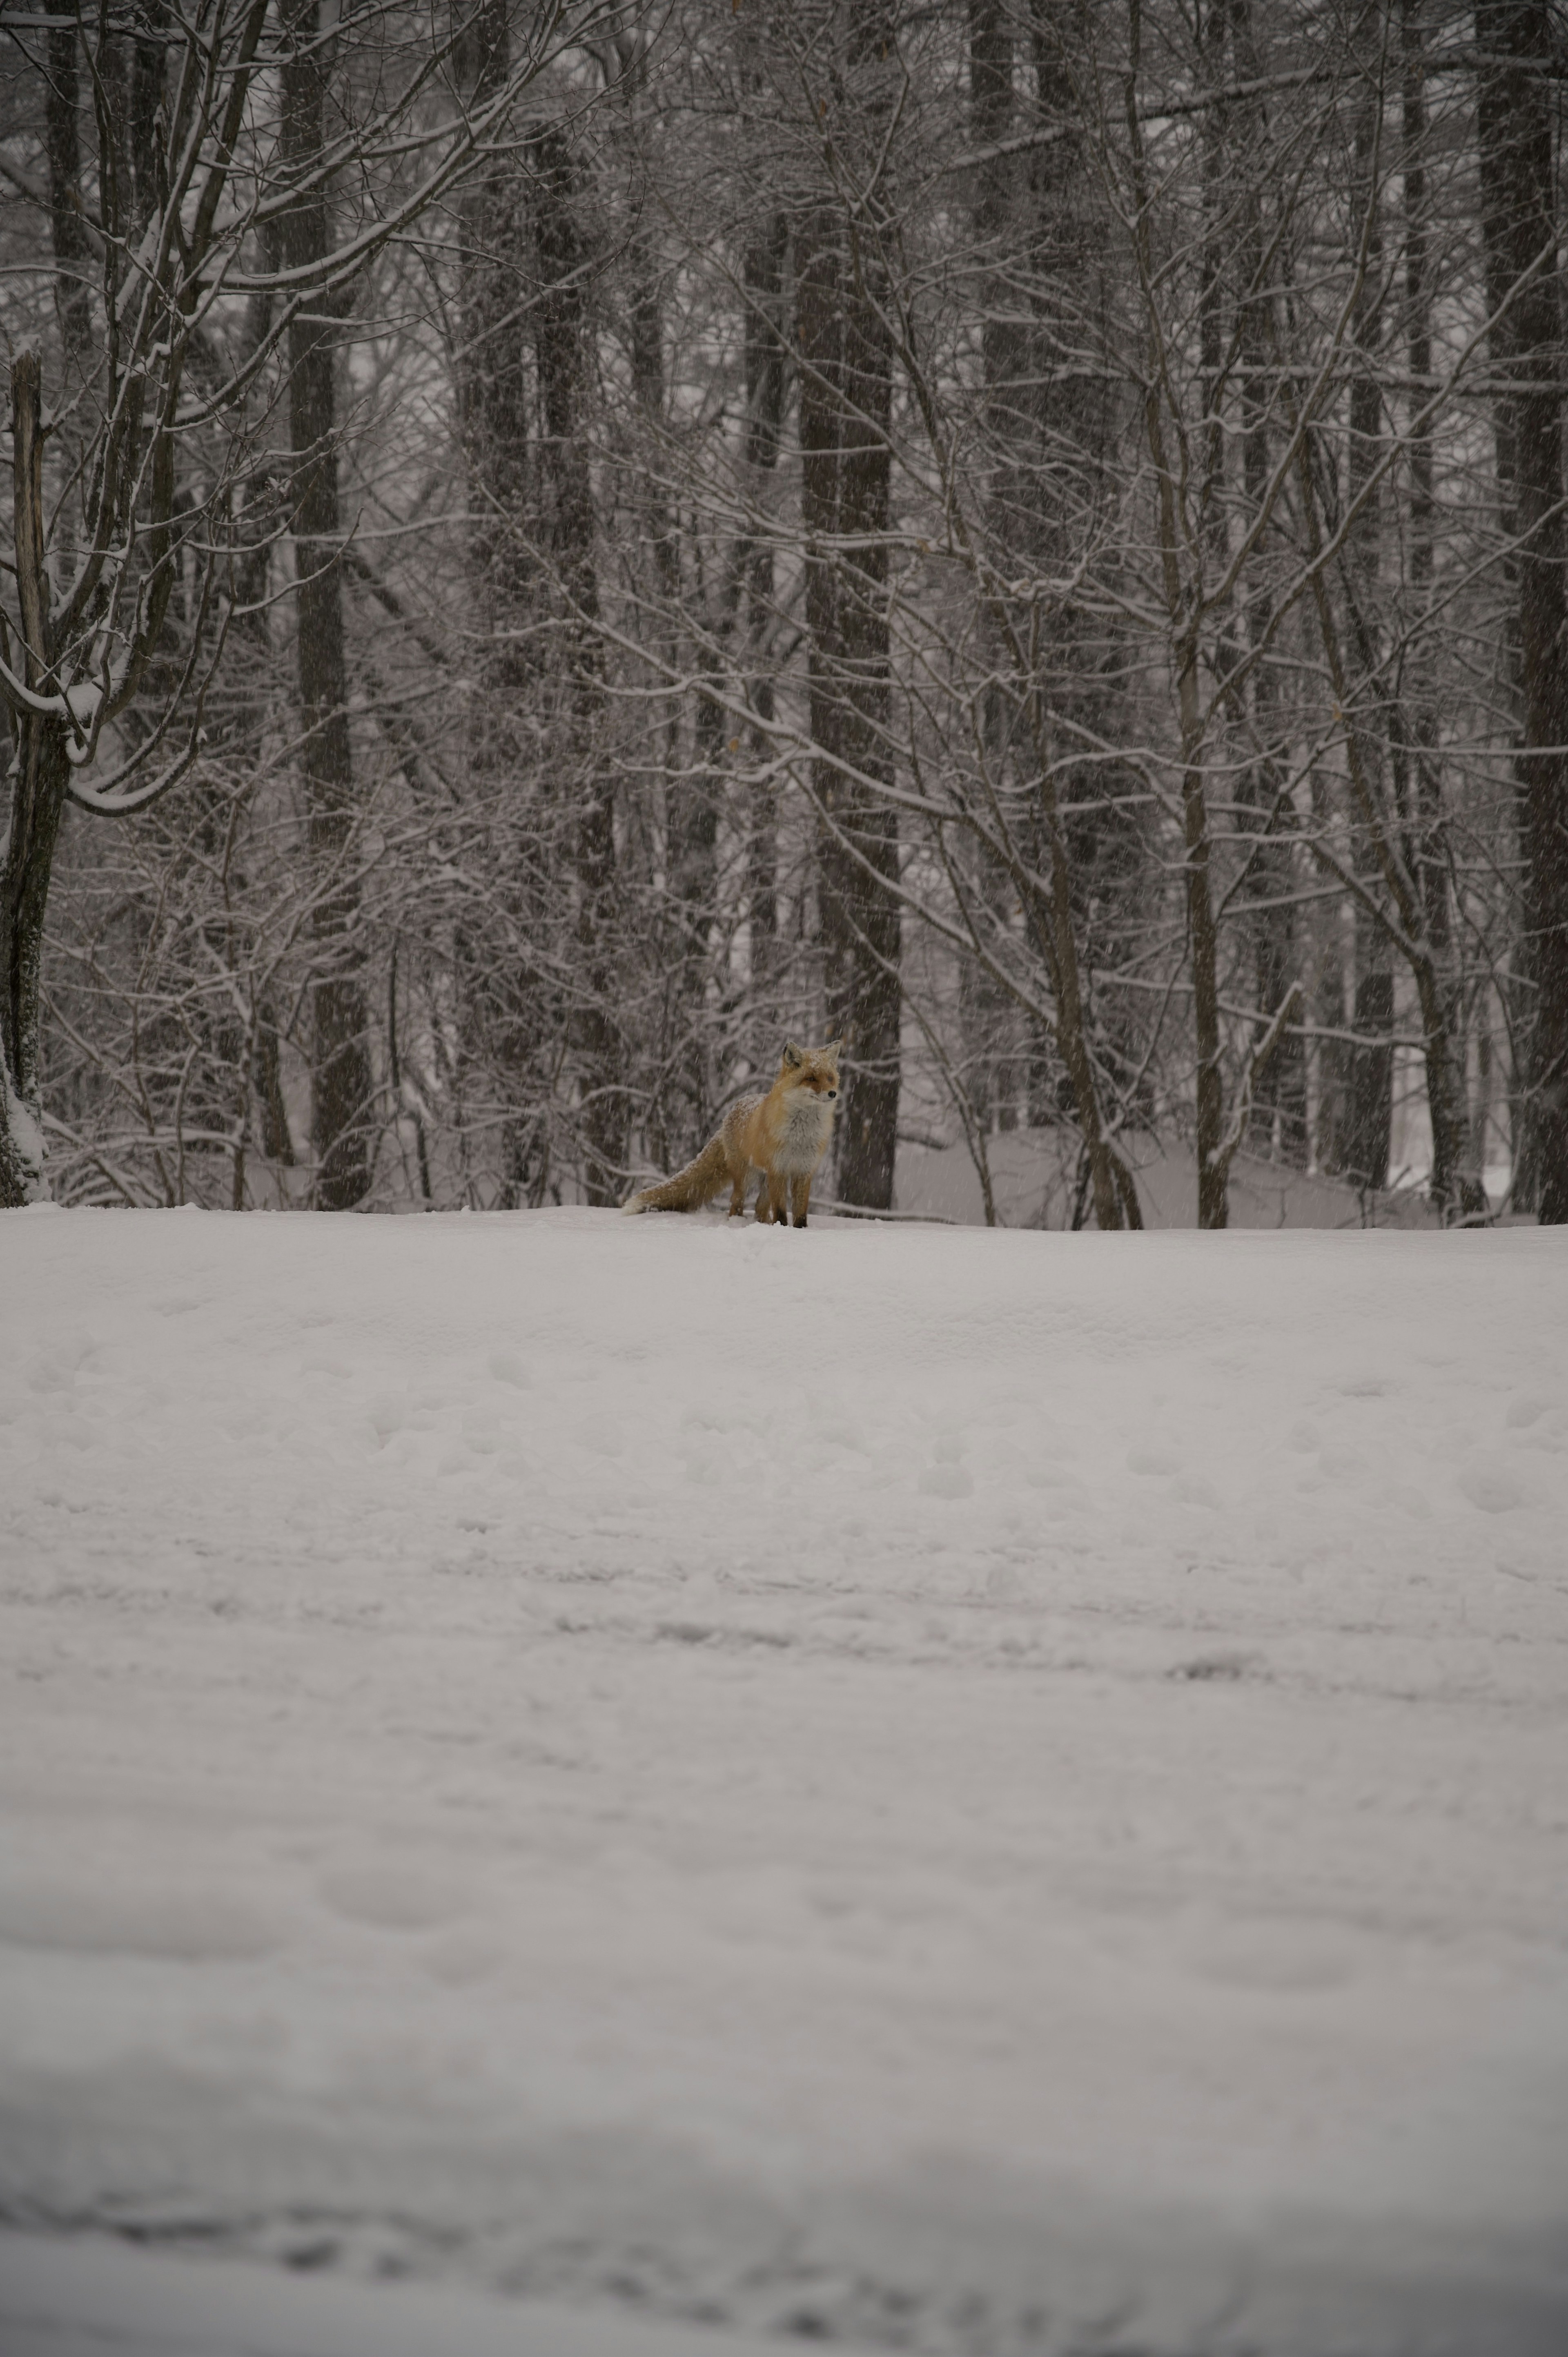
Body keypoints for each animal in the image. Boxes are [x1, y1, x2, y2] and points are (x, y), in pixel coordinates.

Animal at [622, 1046, 844, 1235]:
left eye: (829, 1078)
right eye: (811, 1078)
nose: (833, 1093)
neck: (800, 1137)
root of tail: (730, 1114)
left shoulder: (804, 1171)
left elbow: (801, 1211)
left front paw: (801, 1232)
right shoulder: (779, 1170)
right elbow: (781, 1211)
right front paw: (782, 1230)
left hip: (765, 1179)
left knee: (759, 1208)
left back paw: (762, 1224)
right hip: (746, 1176)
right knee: (735, 1203)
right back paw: (739, 1223)